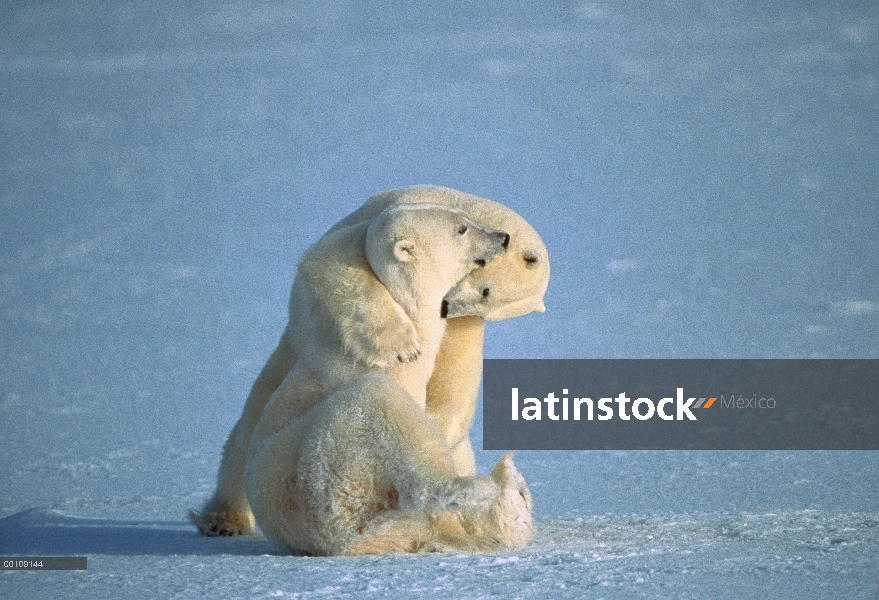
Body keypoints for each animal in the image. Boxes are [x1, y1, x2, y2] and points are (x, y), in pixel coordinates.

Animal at [193, 186, 552, 540]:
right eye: (486, 289)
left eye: (487, 299)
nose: (502, 238)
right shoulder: (370, 225)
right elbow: (334, 263)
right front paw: (401, 344)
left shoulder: (464, 326)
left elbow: (454, 379)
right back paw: (225, 518)